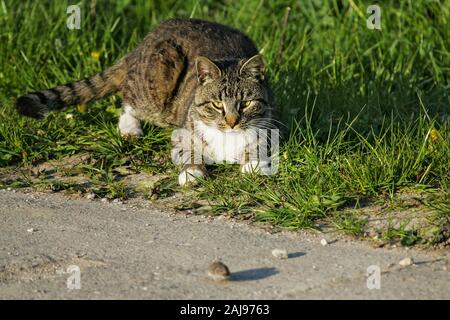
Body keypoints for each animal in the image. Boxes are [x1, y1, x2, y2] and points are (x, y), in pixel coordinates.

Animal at [15, 18, 278, 185]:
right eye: (216, 105)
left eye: (245, 104)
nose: (232, 122)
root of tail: (142, 44)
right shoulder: (183, 134)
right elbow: (188, 153)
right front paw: (192, 172)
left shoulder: (270, 126)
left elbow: (257, 146)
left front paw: (253, 164)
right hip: (156, 87)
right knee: (127, 100)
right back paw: (130, 128)